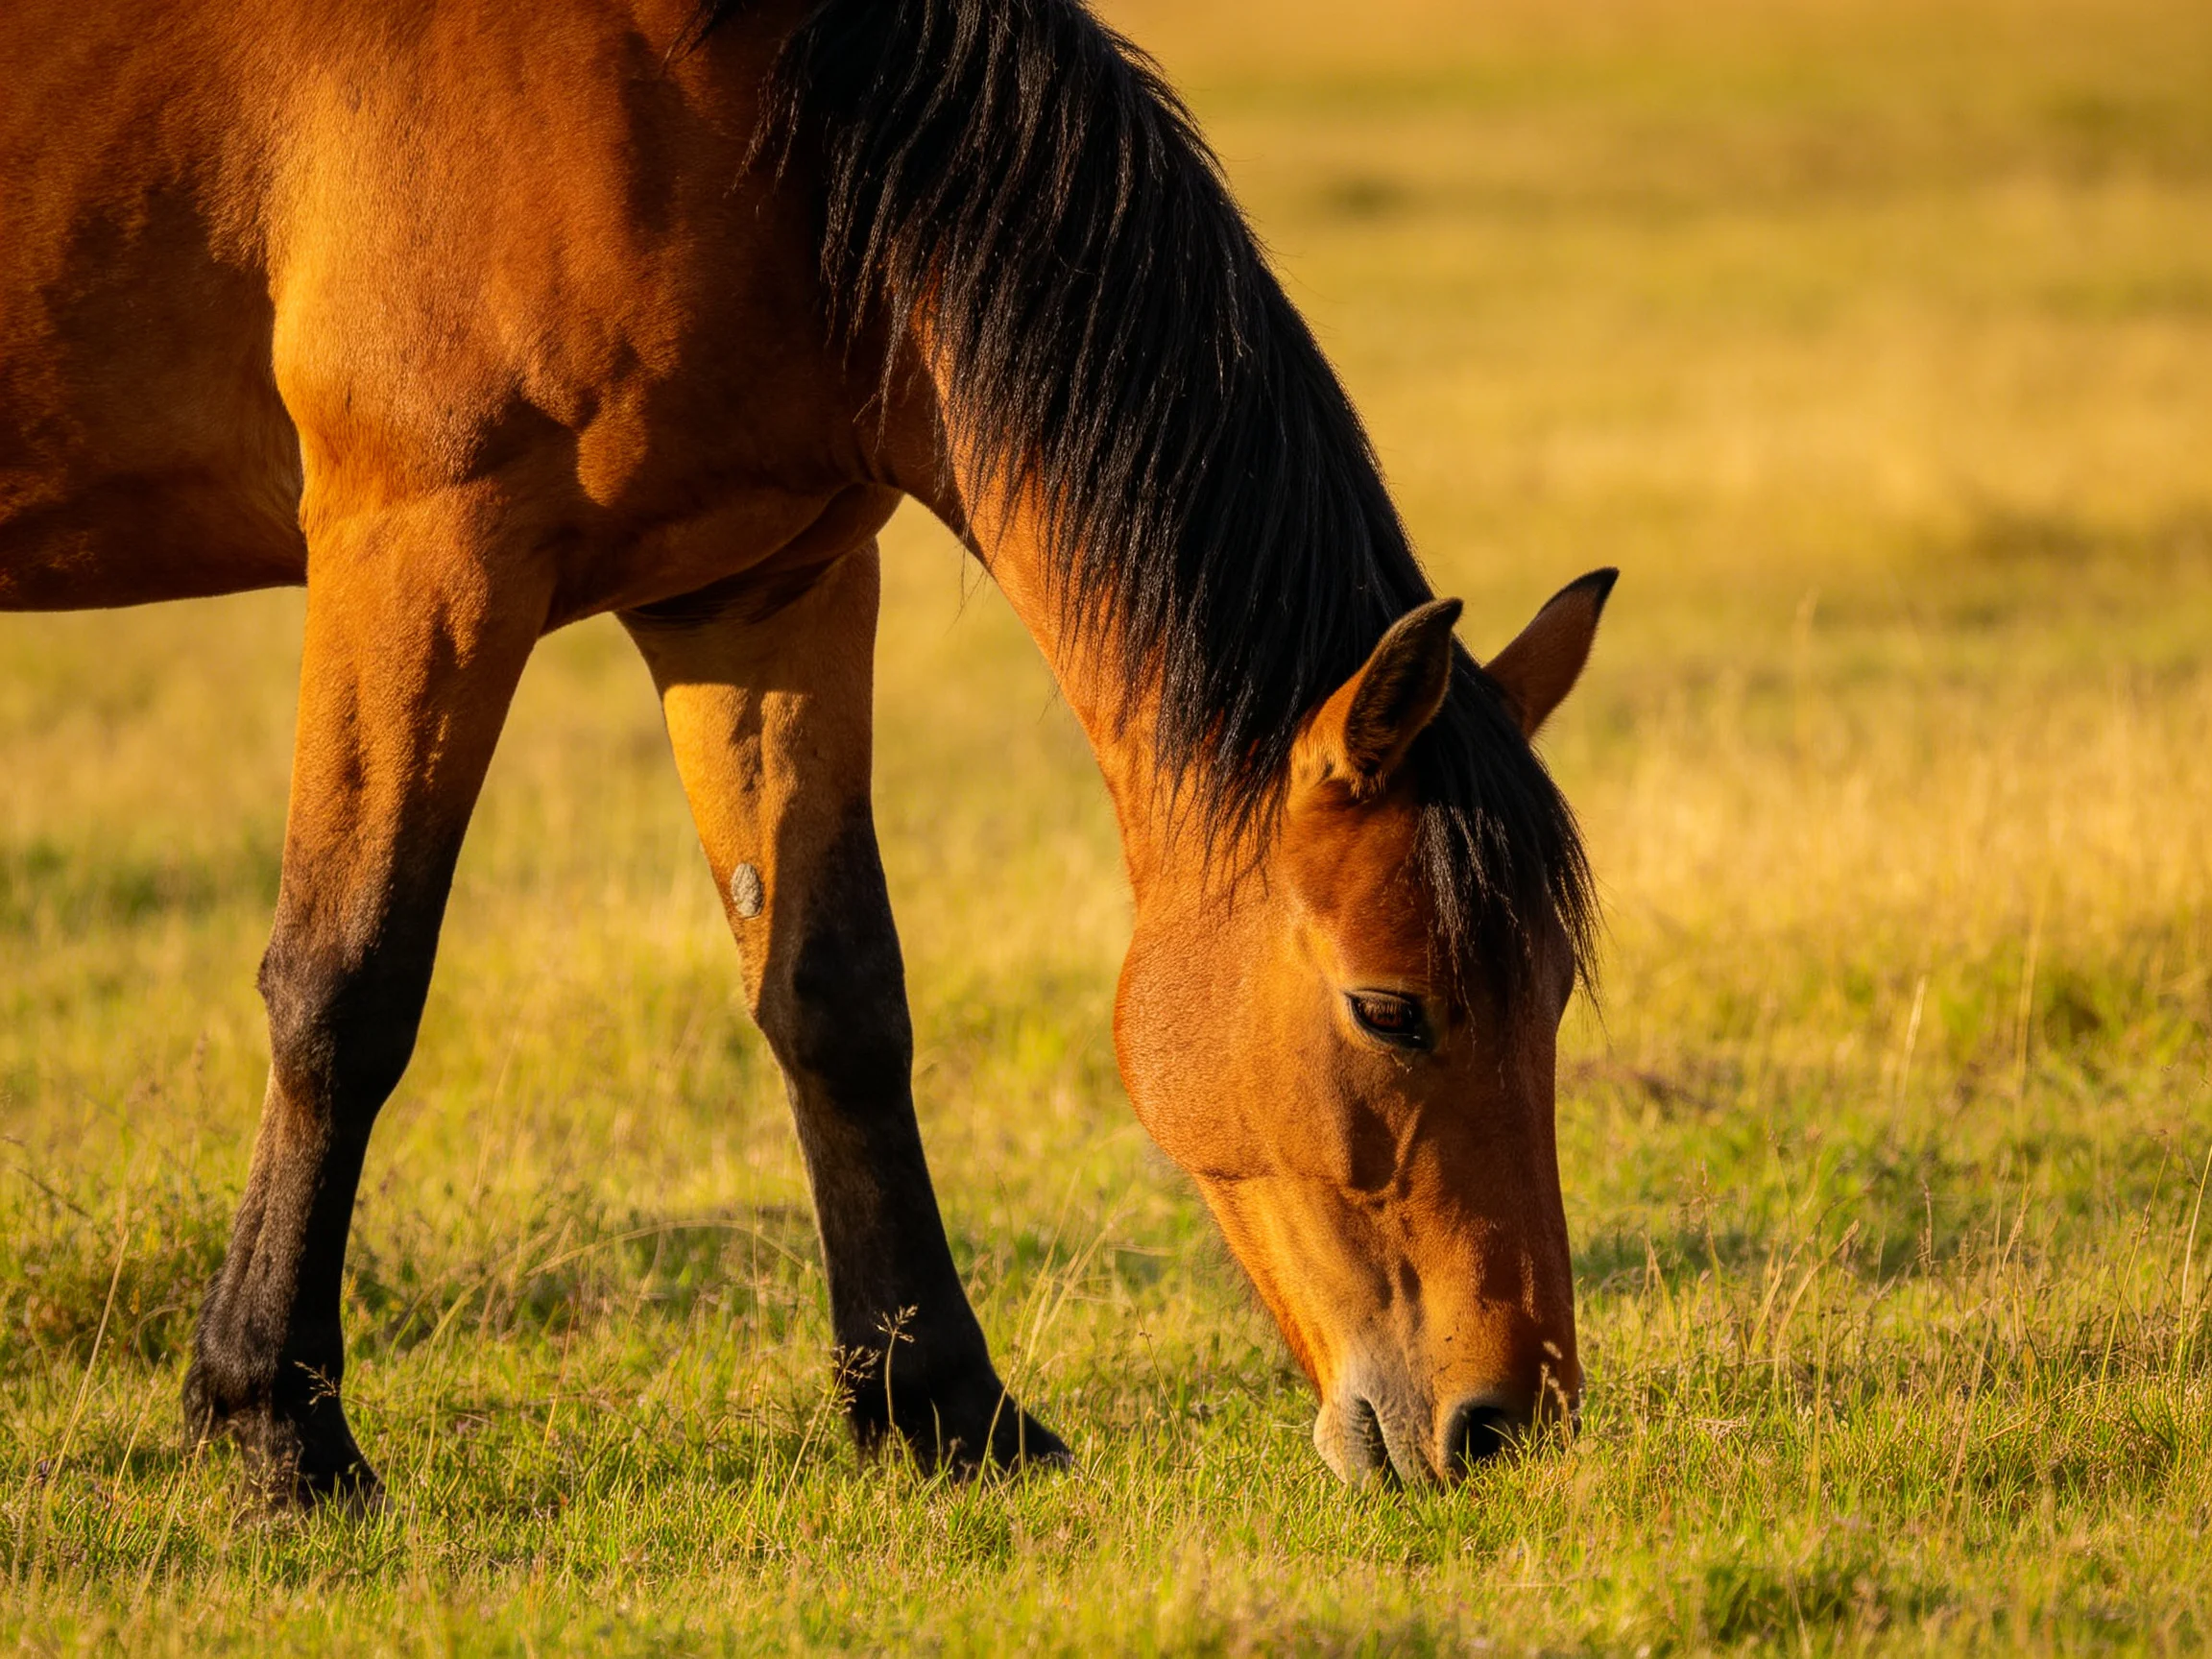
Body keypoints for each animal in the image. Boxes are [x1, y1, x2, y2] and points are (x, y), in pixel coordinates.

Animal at [0, 0, 1613, 1503]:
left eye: (1546, 999)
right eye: (1391, 1010)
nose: (1506, 1424)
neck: (752, 115)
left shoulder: (764, 593)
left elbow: (835, 999)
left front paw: (949, 1412)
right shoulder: (422, 550)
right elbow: (346, 988)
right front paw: (276, 1428)